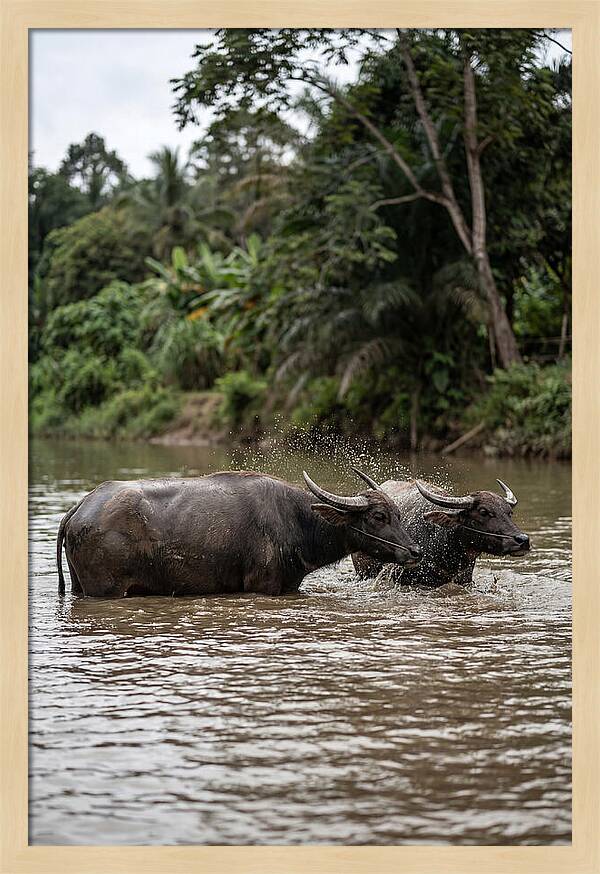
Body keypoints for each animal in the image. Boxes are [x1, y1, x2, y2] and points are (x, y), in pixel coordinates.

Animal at [57, 468, 422, 598]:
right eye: (379, 516)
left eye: (399, 514)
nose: (415, 551)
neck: (297, 520)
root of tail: (80, 508)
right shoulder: (263, 585)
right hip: (107, 590)